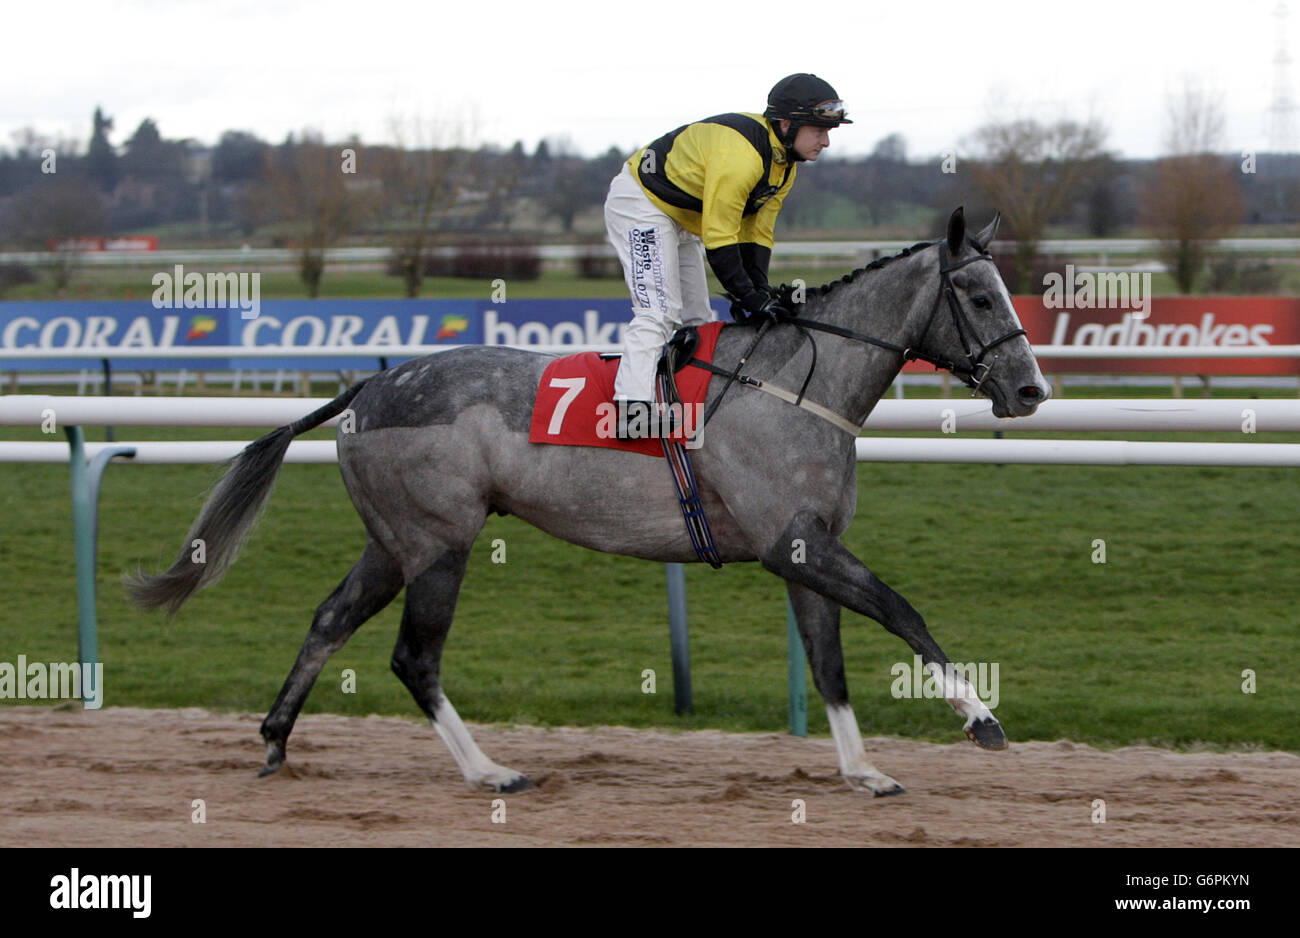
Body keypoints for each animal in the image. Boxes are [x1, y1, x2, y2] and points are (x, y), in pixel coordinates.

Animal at [129, 207, 1045, 795]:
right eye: (979, 297)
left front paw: (862, 769)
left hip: (394, 542)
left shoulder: (802, 547)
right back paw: (489, 770)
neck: (794, 385)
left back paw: (276, 739)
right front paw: (980, 719)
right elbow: (902, 610)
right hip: (440, 543)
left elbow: (828, 661)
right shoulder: (796, 542)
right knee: (413, 658)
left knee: (328, 619)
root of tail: (368, 383)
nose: (1031, 390)